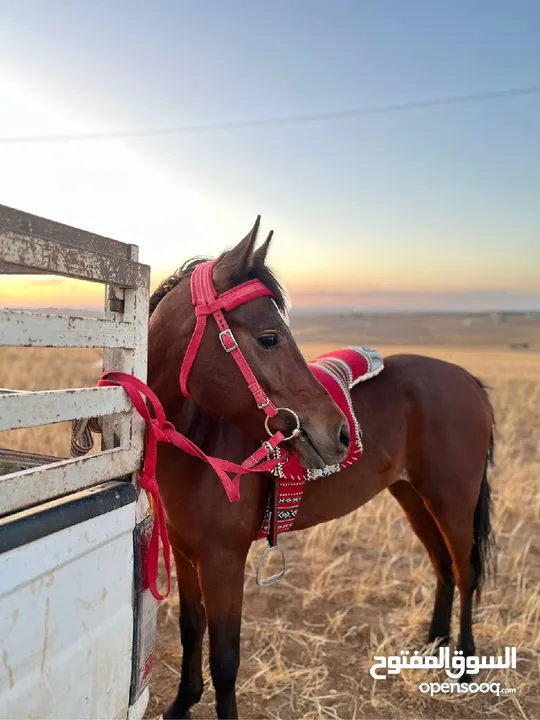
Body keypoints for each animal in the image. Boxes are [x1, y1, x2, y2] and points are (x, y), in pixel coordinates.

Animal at [147, 219, 494, 720]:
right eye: (269, 337)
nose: (340, 434)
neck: (201, 440)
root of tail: (466, 378)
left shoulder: (223, 560)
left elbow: (225, 659)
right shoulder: (184, 550)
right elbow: (191, 629)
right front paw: (181, 704)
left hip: (452, 502)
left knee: (465, 571)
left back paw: (464, 661)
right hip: (414, 497)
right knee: (443, 566)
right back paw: (434, 643)